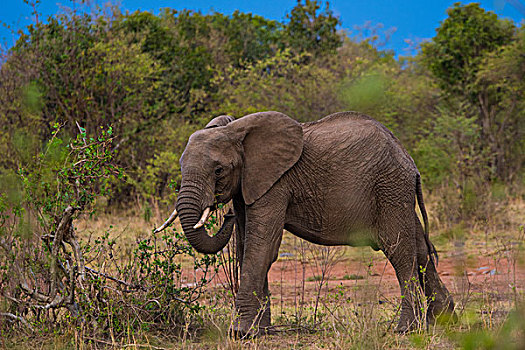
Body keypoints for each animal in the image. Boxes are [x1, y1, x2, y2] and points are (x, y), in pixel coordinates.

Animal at [155, 111, 454, 336]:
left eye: (218, 171)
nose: (224, 215)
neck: (238, 131)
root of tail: (409, 161)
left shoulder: (277, 183)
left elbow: (261, 247)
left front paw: (240, 332)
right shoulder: (247, 186)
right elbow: (245, 246)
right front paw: (260, 331)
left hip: (389, 187)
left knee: (399, 250)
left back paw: (407, 329)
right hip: (396, 191)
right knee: (420, 248)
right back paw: (443, 320)